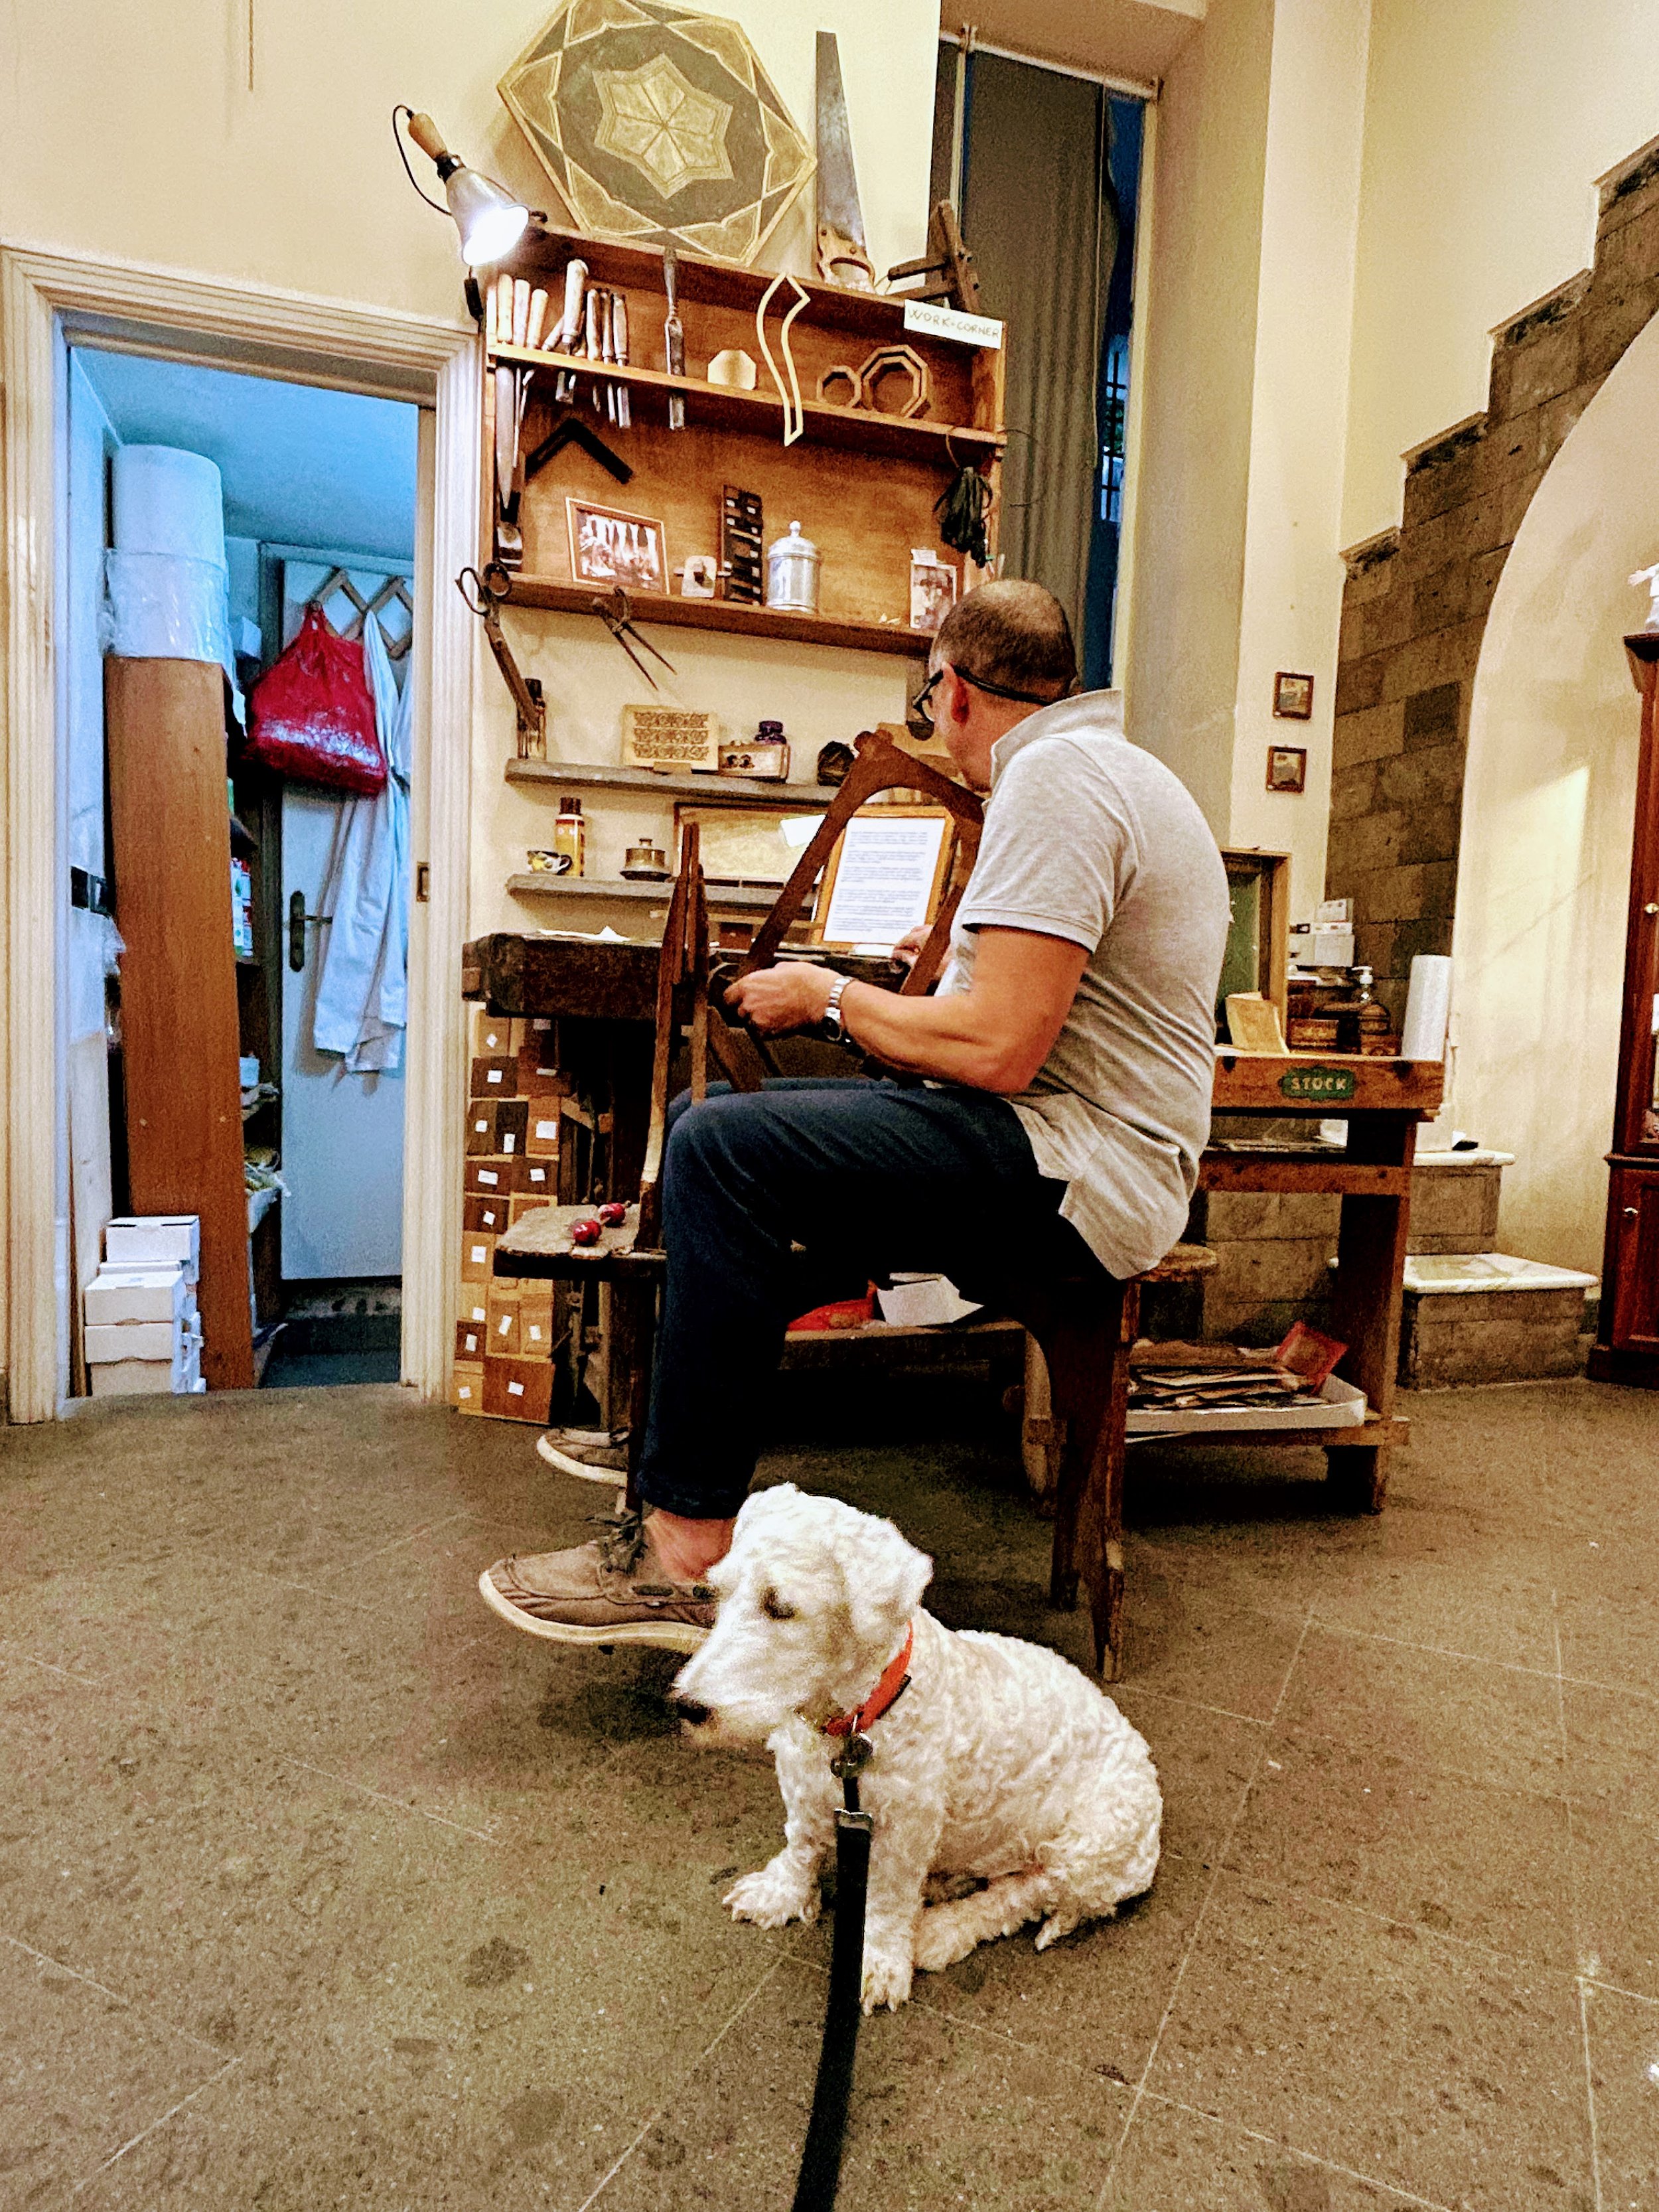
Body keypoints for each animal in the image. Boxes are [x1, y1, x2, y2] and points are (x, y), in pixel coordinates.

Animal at [673, 1485, 1161, 2013]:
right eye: (713, 1592)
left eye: (780, 1606)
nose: (686, 1706)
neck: (855, 1717)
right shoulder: (802, 1786)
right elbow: (801, 1844)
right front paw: (779, 1893)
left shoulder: (905, 1827)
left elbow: (889, 1898)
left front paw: (878, 1963)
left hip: (1089, 1846)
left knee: (1025, 1894)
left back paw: (941, 1930)